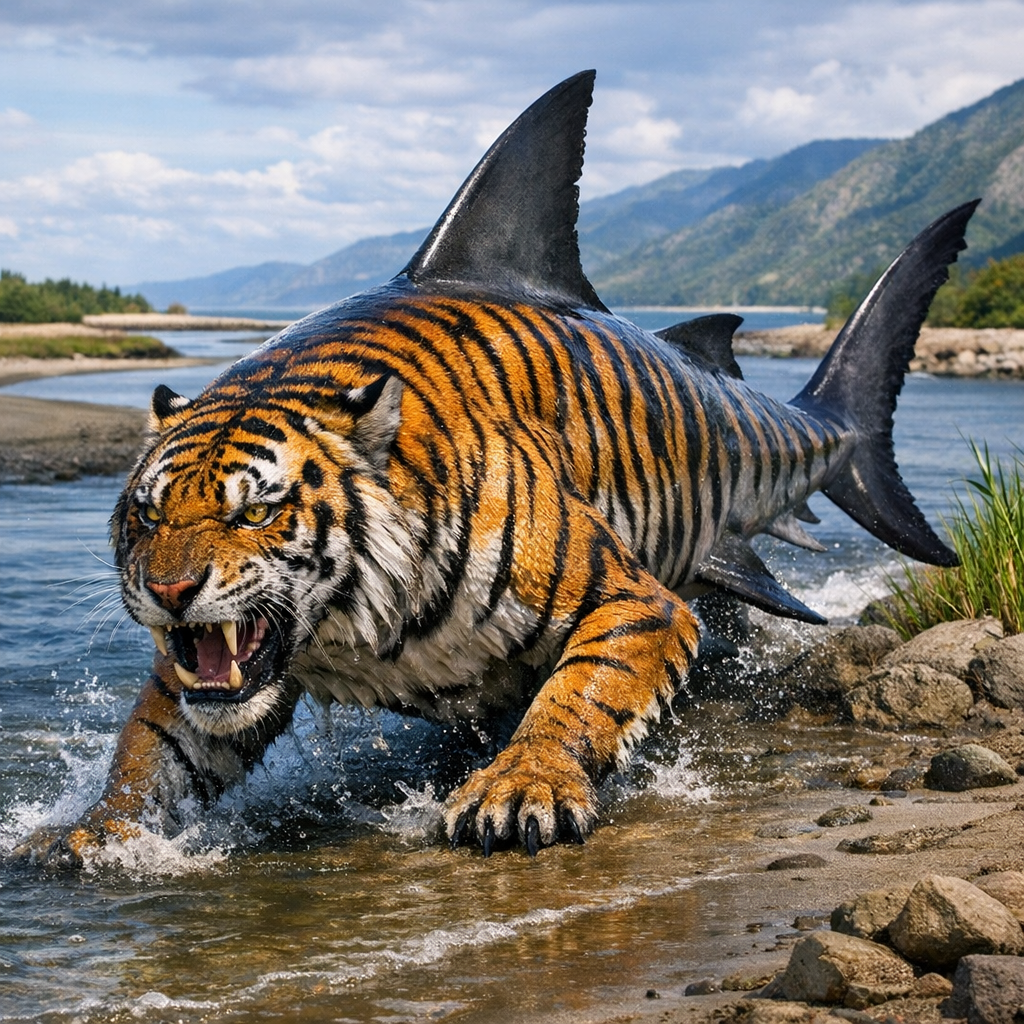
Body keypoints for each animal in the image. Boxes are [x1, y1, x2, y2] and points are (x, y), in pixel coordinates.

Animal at [16, 70, 973, 864]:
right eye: (146, 514)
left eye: (256, 510)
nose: (169, 592)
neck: (358, 621)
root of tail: (831, 415)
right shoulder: (191, 680)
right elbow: (157, 748)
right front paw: (96, 832)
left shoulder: (637, 600)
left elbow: (580, 695)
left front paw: (523, 788)